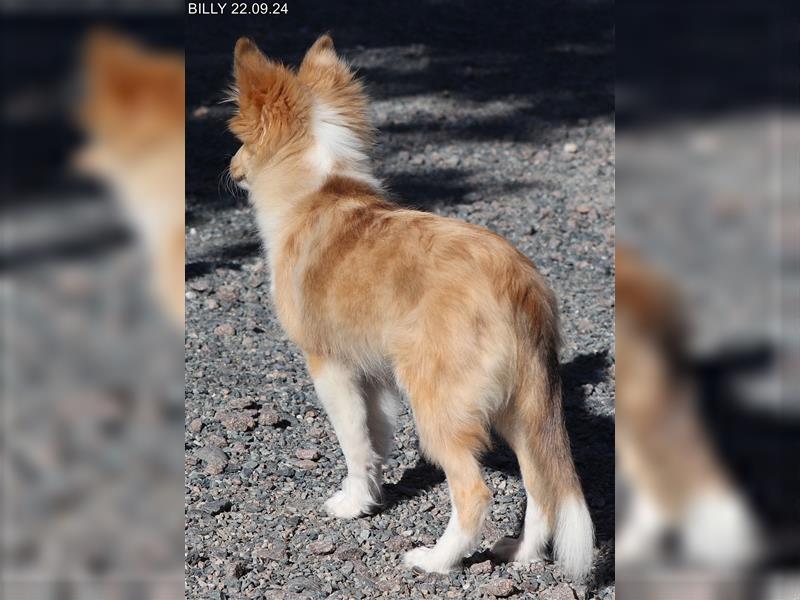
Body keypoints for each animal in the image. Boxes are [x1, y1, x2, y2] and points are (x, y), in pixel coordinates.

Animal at [225, 35, 592, 580]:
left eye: (242, 141)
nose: (230, 169)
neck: (319, 194)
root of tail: (518, 283)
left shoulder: (330, 366)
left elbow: (354, 441)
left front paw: (351, 504)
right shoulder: (373, 373)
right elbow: (376, 436)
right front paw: (371, 496)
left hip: (437, 404)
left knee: (474, 492)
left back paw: (437, 559)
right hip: (521, 409)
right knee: (541, 488)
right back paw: (521, 555)